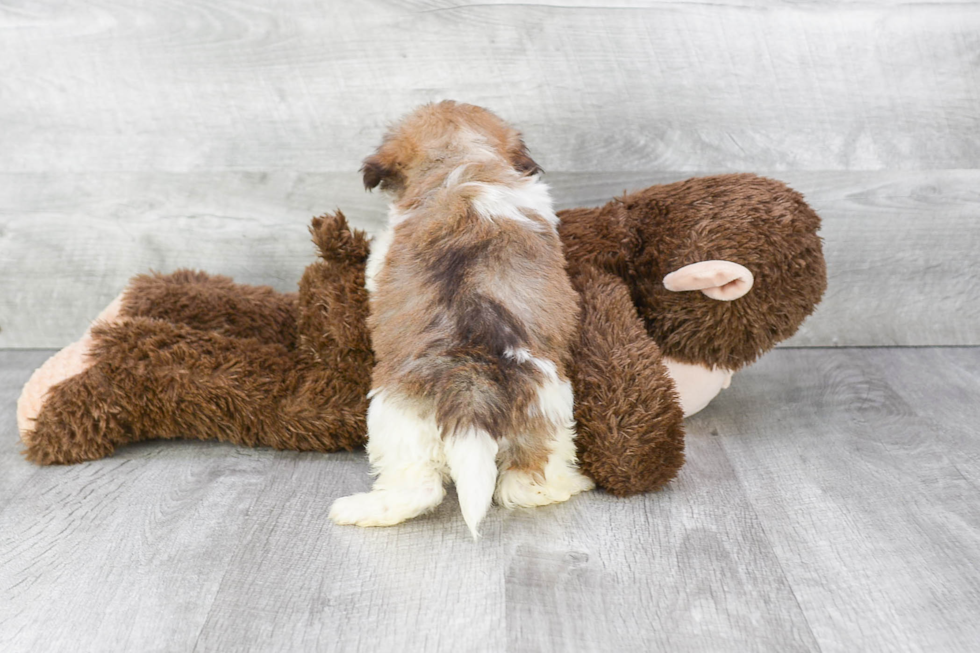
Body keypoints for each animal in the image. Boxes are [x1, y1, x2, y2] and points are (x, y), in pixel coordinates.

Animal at [328, 102, 588, 536]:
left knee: (417, 487)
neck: (462, 159)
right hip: (546, 411)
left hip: (396, 419)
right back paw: (565, 485)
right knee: (524, 482)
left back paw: (360, 509)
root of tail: (471, 378)